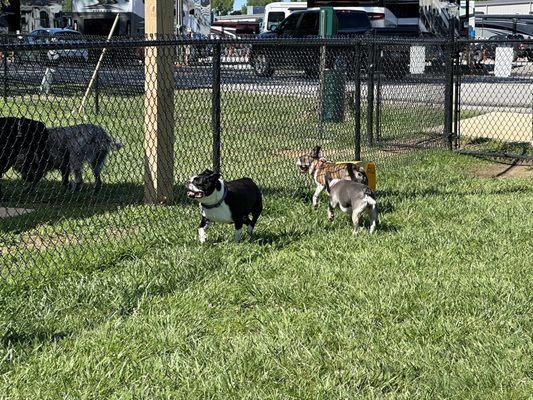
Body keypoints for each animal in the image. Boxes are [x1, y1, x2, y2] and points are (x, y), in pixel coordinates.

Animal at [0, 34, 528, 280]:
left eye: (203, 180)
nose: (190, 188)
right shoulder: (205, 217)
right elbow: (203, 231)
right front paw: (205, 240)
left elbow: (289, 208)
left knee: (273, 220)